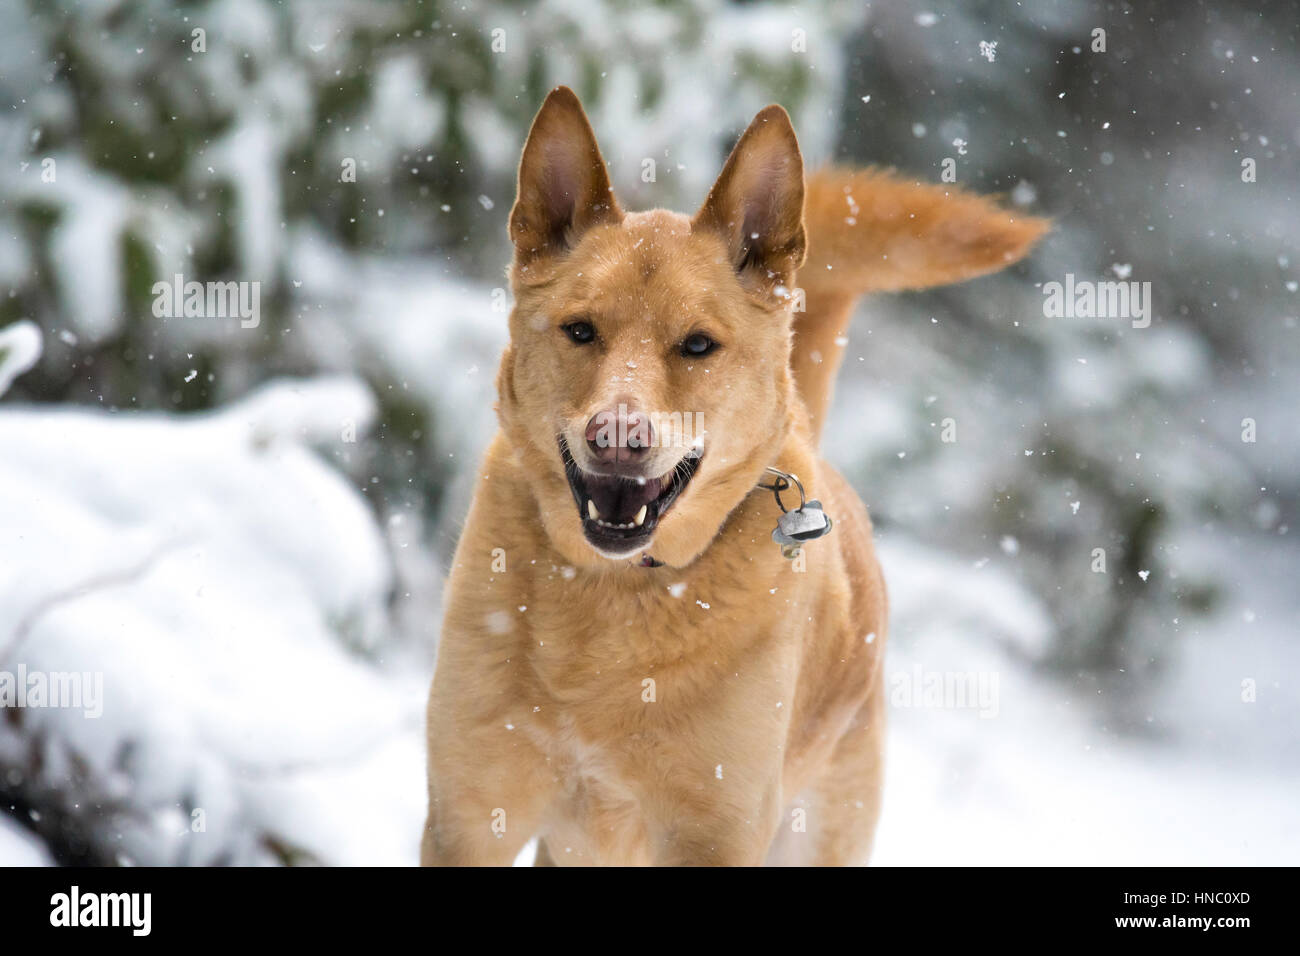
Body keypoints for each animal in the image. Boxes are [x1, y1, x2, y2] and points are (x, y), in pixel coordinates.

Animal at [421, 87, 1050, 868]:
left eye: (697, 345)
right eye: (581, 330)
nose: (618, 440)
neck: (619, 594)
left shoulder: (714, 832)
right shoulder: (471, 816)